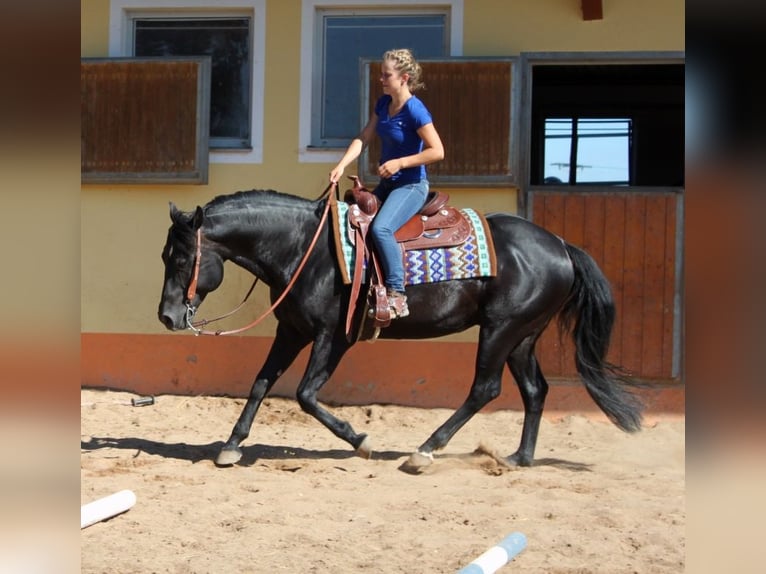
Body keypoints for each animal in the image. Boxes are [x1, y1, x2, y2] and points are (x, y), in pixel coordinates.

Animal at [157, 186, 643, 470]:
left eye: (182, 258)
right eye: (166, 256)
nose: (167, 317)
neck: (305, 250)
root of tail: (560, 245)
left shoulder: (334, 337)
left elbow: (306, 395)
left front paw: (360, 439)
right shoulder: (291, 332)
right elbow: (260, 383)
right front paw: (232, 444)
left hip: (501, 329)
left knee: (485, 389)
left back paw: (425, 450)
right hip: (523, 335)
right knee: (534, 390)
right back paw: (519, 458)